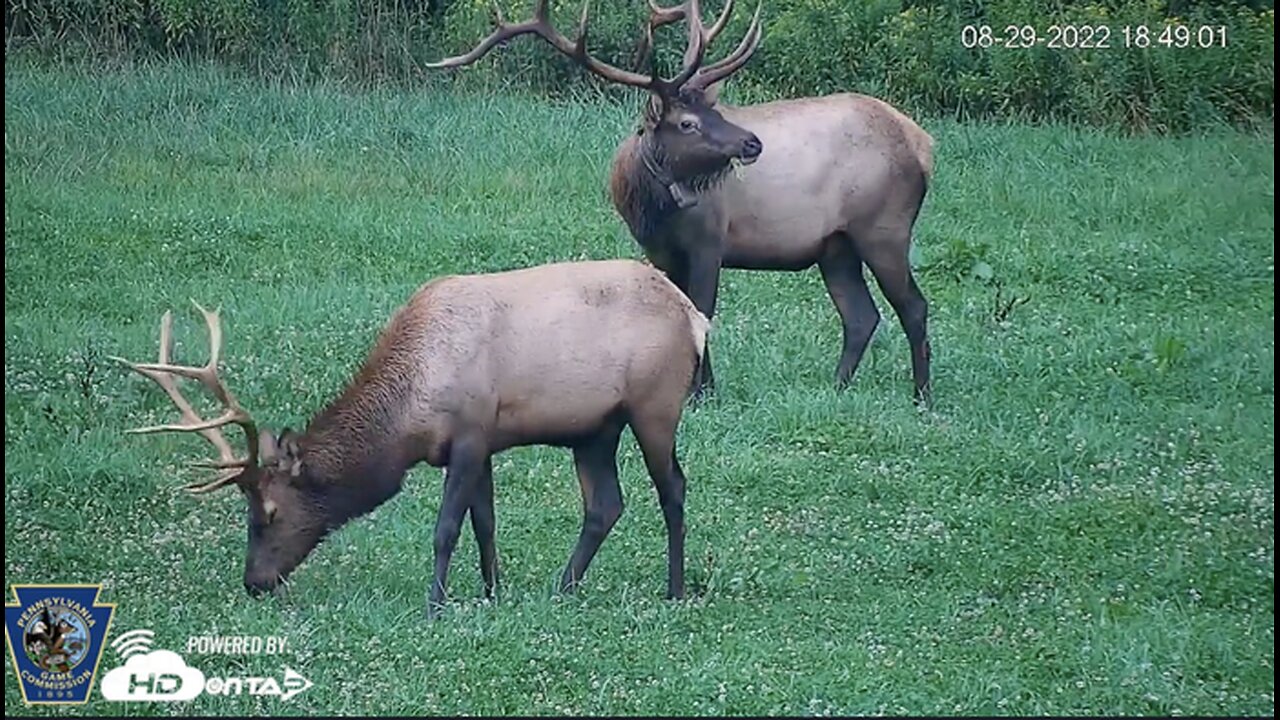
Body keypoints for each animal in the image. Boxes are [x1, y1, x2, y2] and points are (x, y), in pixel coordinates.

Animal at [113, 259, 709, 618]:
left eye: (269, 513)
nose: (254, 582)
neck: (409, 417)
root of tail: (697, 318)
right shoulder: (480, 442)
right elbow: (485, 524)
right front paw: (493, 593)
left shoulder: (468, 434)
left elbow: (446, 529)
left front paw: (435, 605)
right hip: (593, 429)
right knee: (605, 504)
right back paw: (563, 588)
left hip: (655, 407)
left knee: (673, 488)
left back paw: (675, 590)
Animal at [426, 0, 935, 403]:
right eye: (689, 122)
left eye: (714, 109)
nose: (752, 143)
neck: (650, 209)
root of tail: (922, 144)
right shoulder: (659, 250)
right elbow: (679, 309)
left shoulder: (710, 241)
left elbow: (702, 312)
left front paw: (701, 393)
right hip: (835, 246)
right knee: (861, 316)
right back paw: (838, 388)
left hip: (884, 227)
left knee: (912, 306)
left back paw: (921, 395)